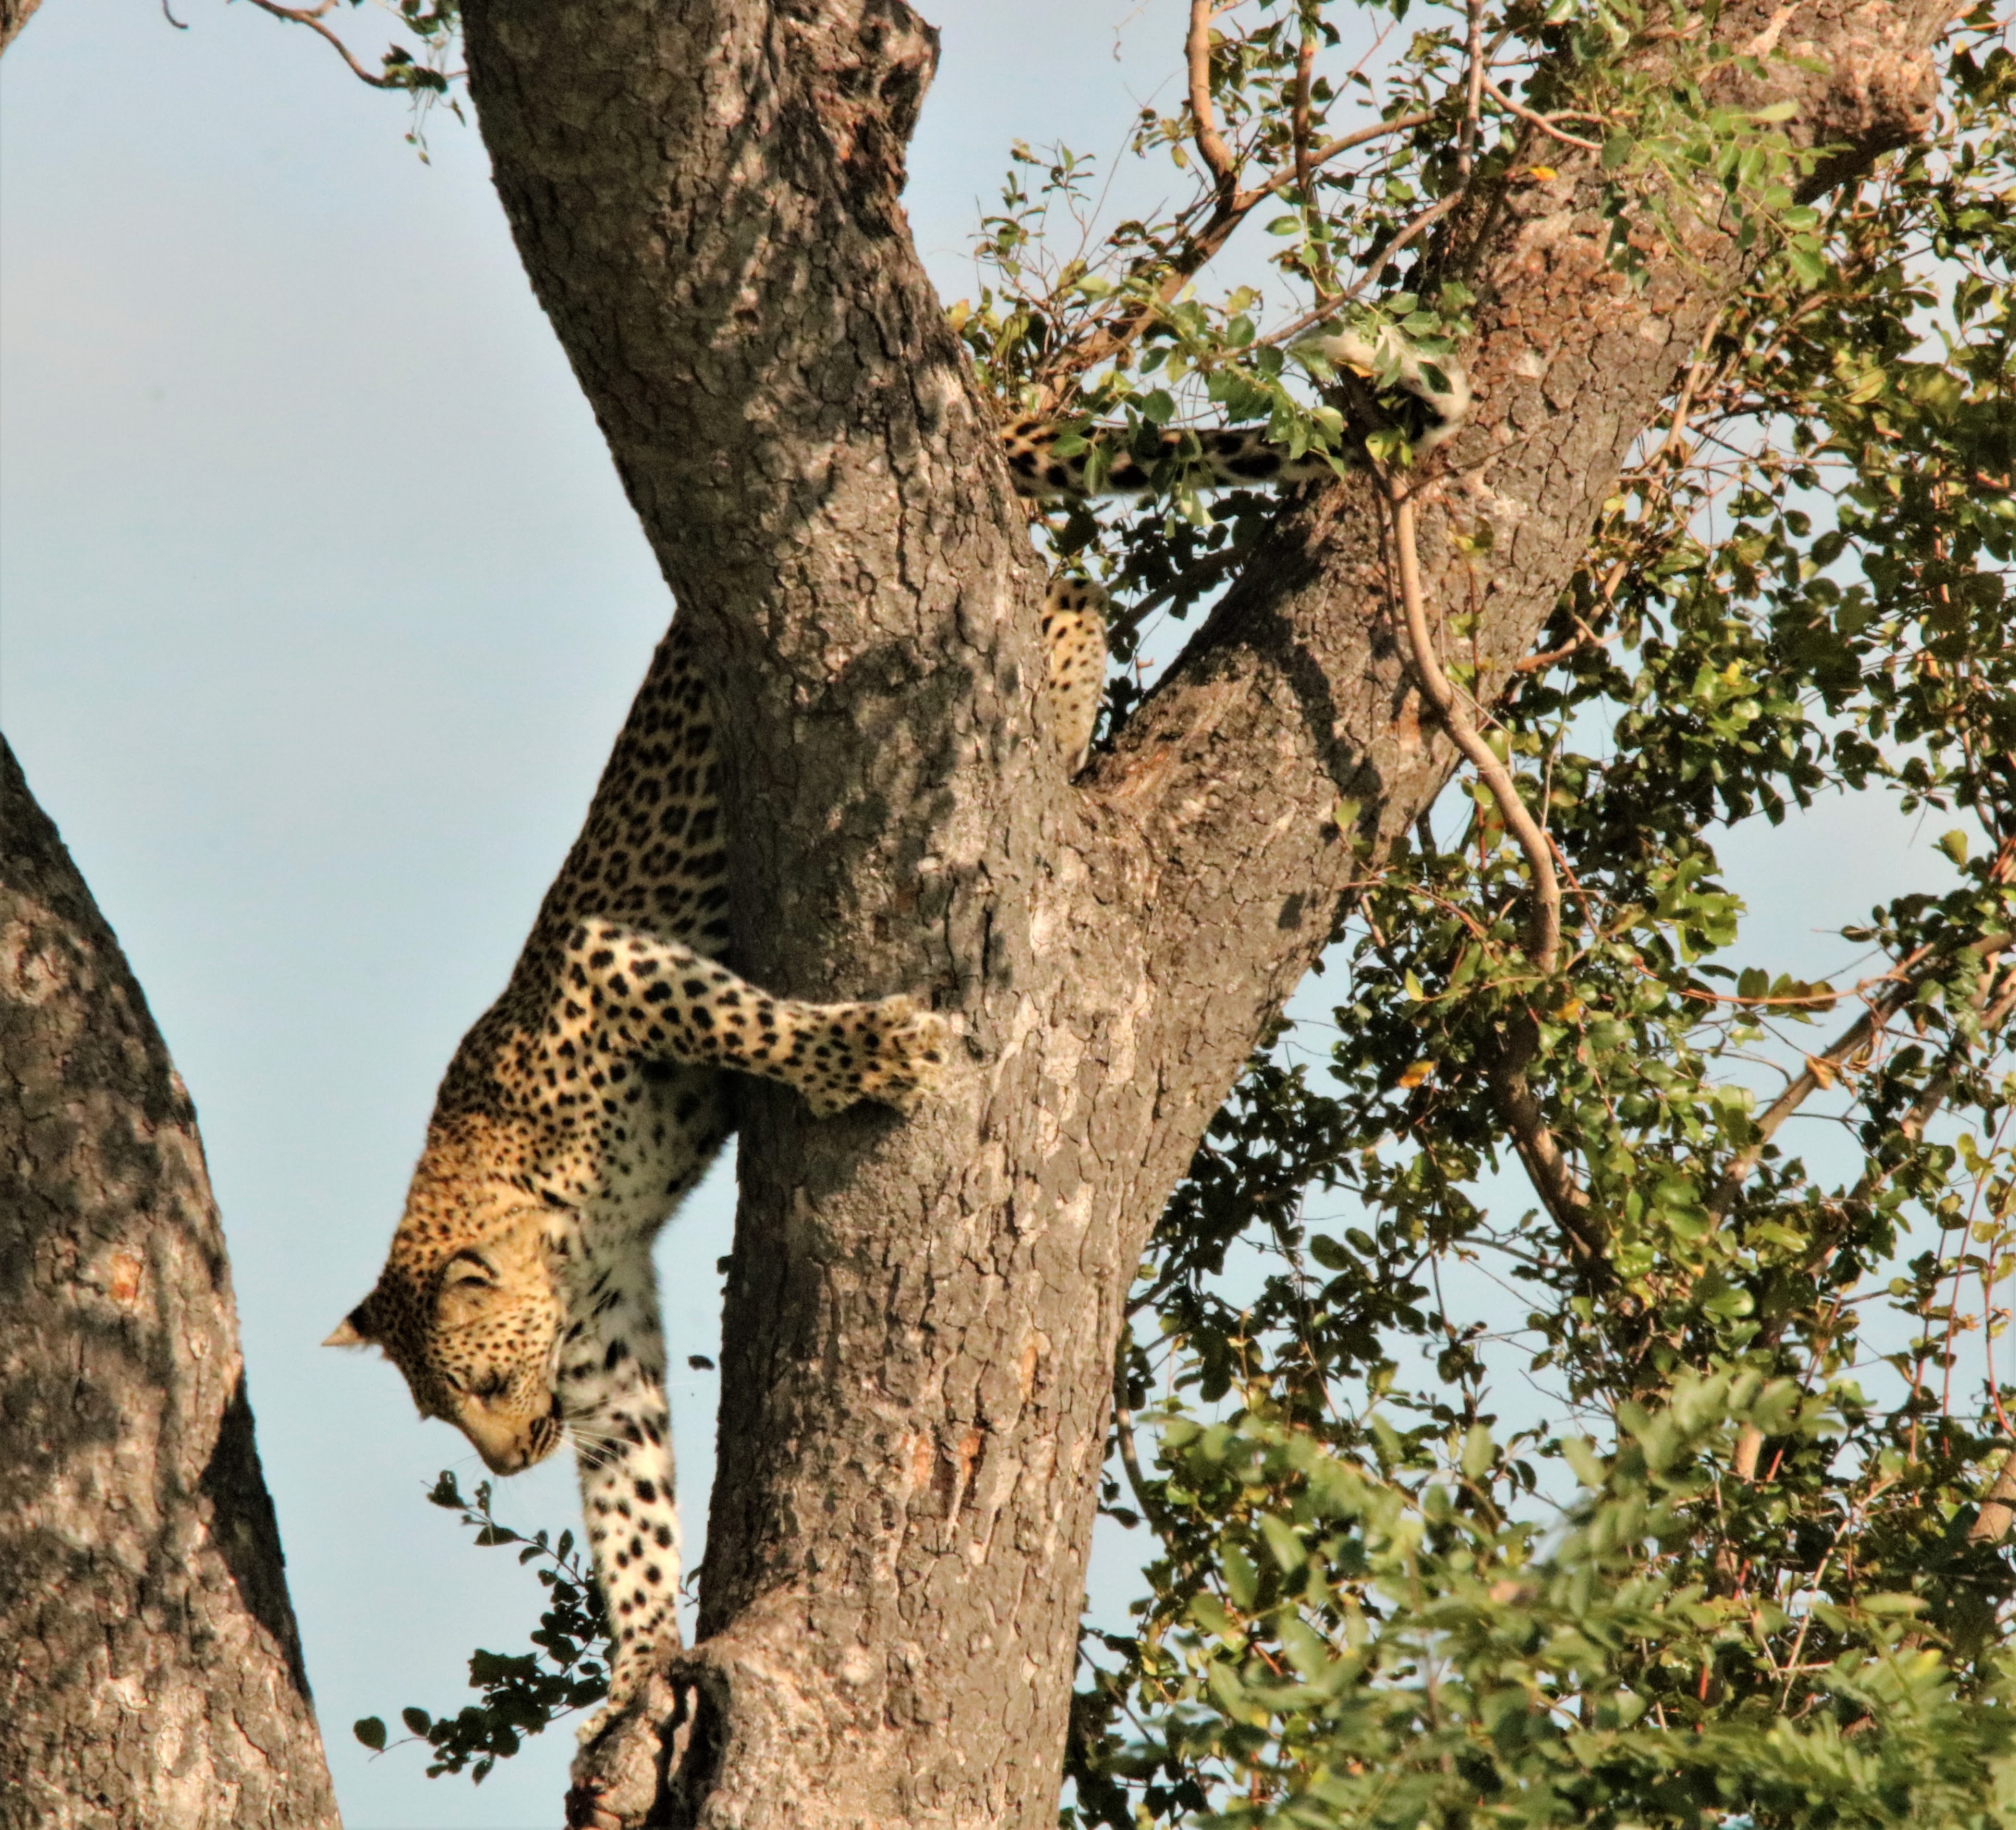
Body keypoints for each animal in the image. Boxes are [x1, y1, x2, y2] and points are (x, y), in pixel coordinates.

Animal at [326, 319, 1468, 1735]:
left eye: (478, 1390)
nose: (513, 1457)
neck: (533, 1205)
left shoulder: (607, 966)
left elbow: (743, 1014)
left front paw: (875, 1052)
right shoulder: (601, 1317)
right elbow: (632, 1497)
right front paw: (641, 1664)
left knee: (1068, 597)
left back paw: (1058, 720)